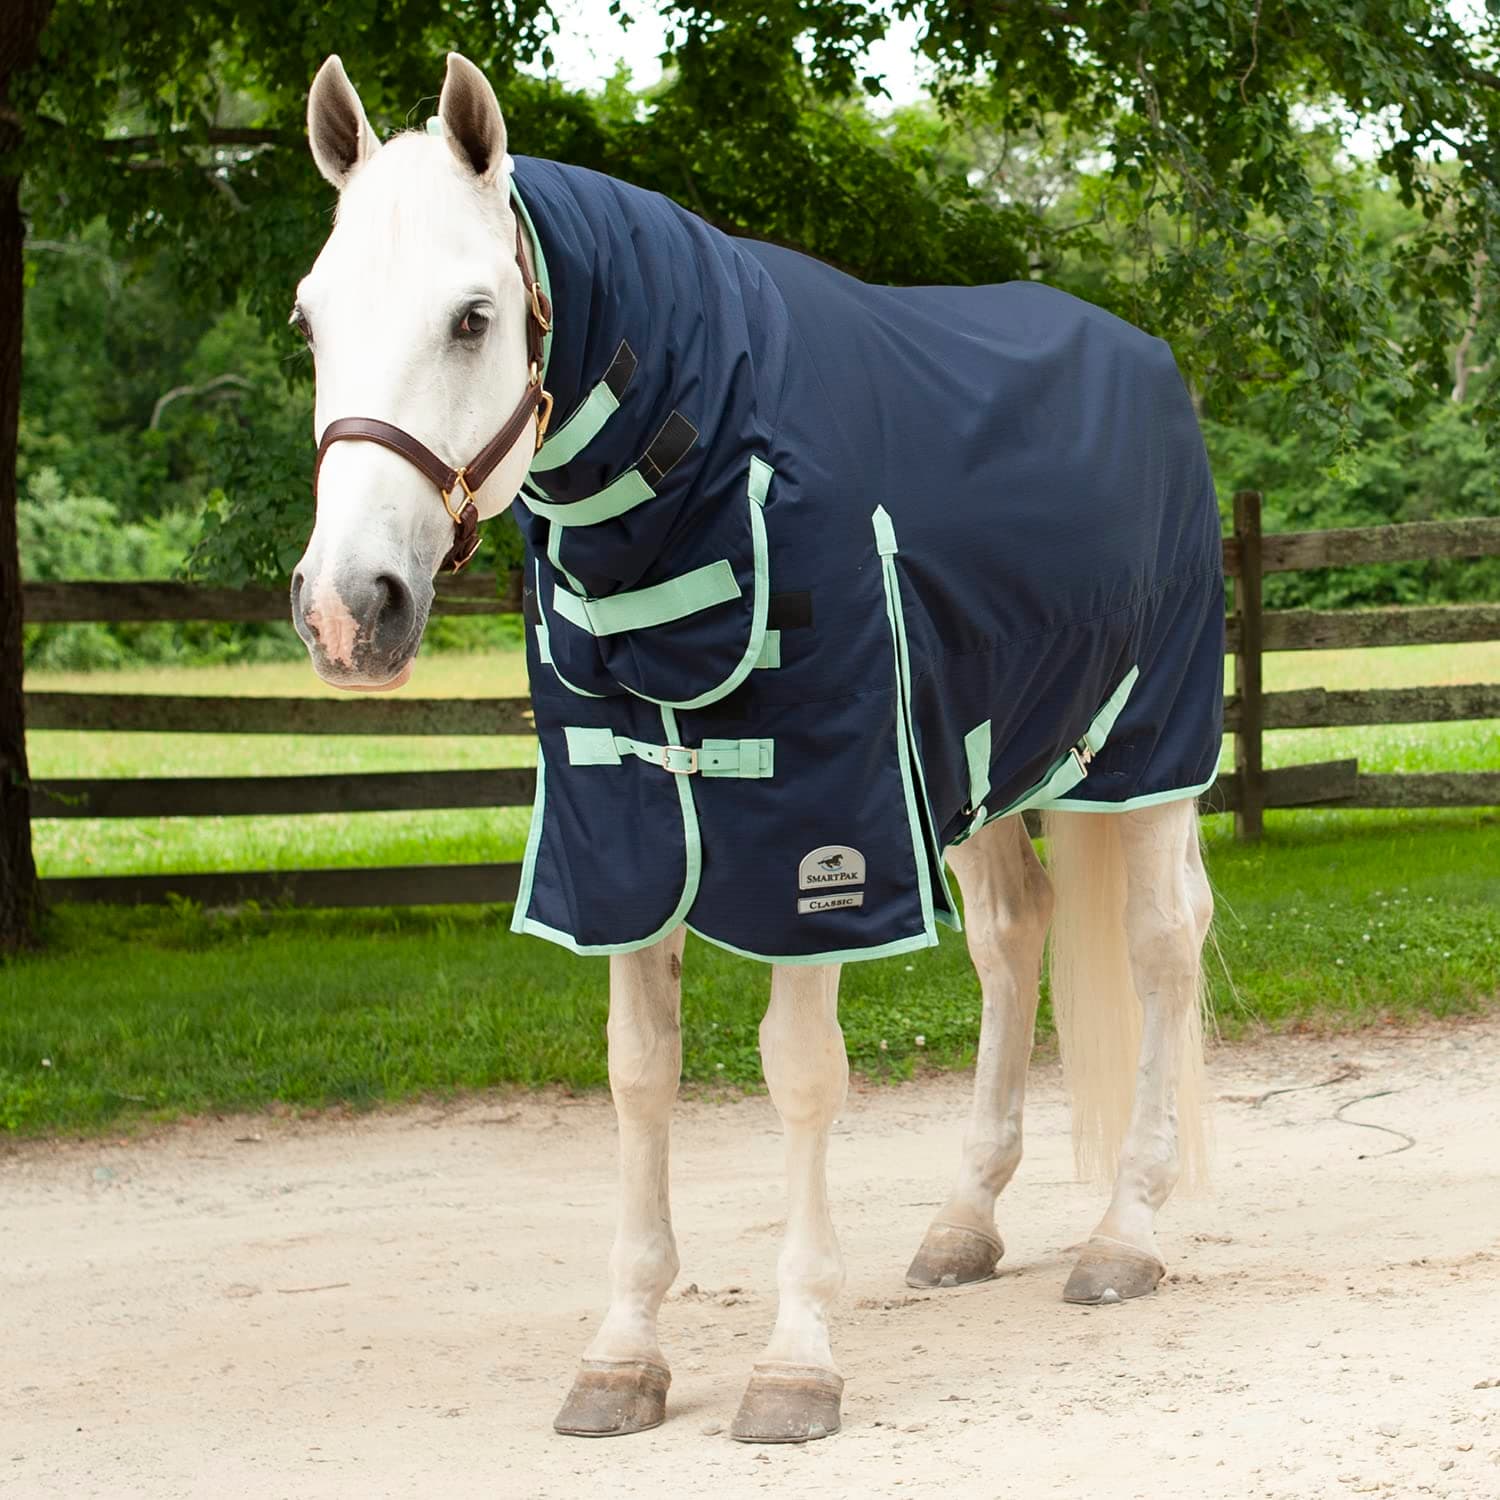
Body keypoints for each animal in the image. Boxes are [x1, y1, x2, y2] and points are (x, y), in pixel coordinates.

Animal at [290, 51, 1220, 1444]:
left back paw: (1125, 1234)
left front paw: (795, 1361)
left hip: (1147, 755)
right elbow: (638, 1077)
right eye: (311, 321)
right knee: (1016, 937)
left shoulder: (826, 837)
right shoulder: (622, 837)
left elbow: (801, 1077)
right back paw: (965, 1224)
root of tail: (1148, 363)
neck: (712, 461)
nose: (351, 611)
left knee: (1163, 944)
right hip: (986, 766)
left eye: (470, 317)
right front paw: (621, 1356)